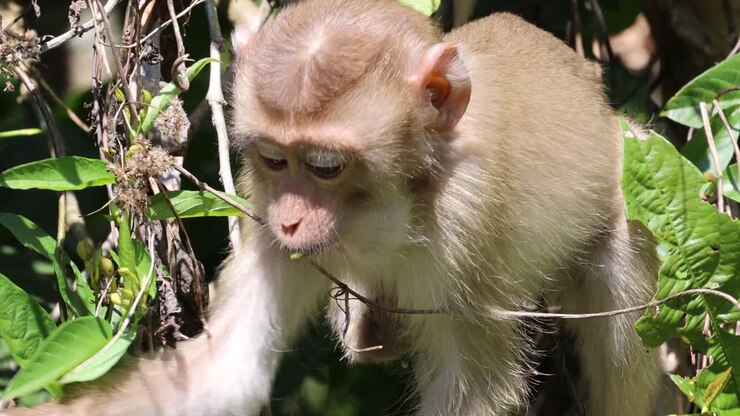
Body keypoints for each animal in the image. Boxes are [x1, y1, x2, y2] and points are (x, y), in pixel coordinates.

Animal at [3, 0, 661, 415]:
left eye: (325, 167)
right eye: (275, 160)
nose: (291, 219)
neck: (405, 195)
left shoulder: (467, 221)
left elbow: (475, 393)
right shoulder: (259, 201)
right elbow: (224, 375)